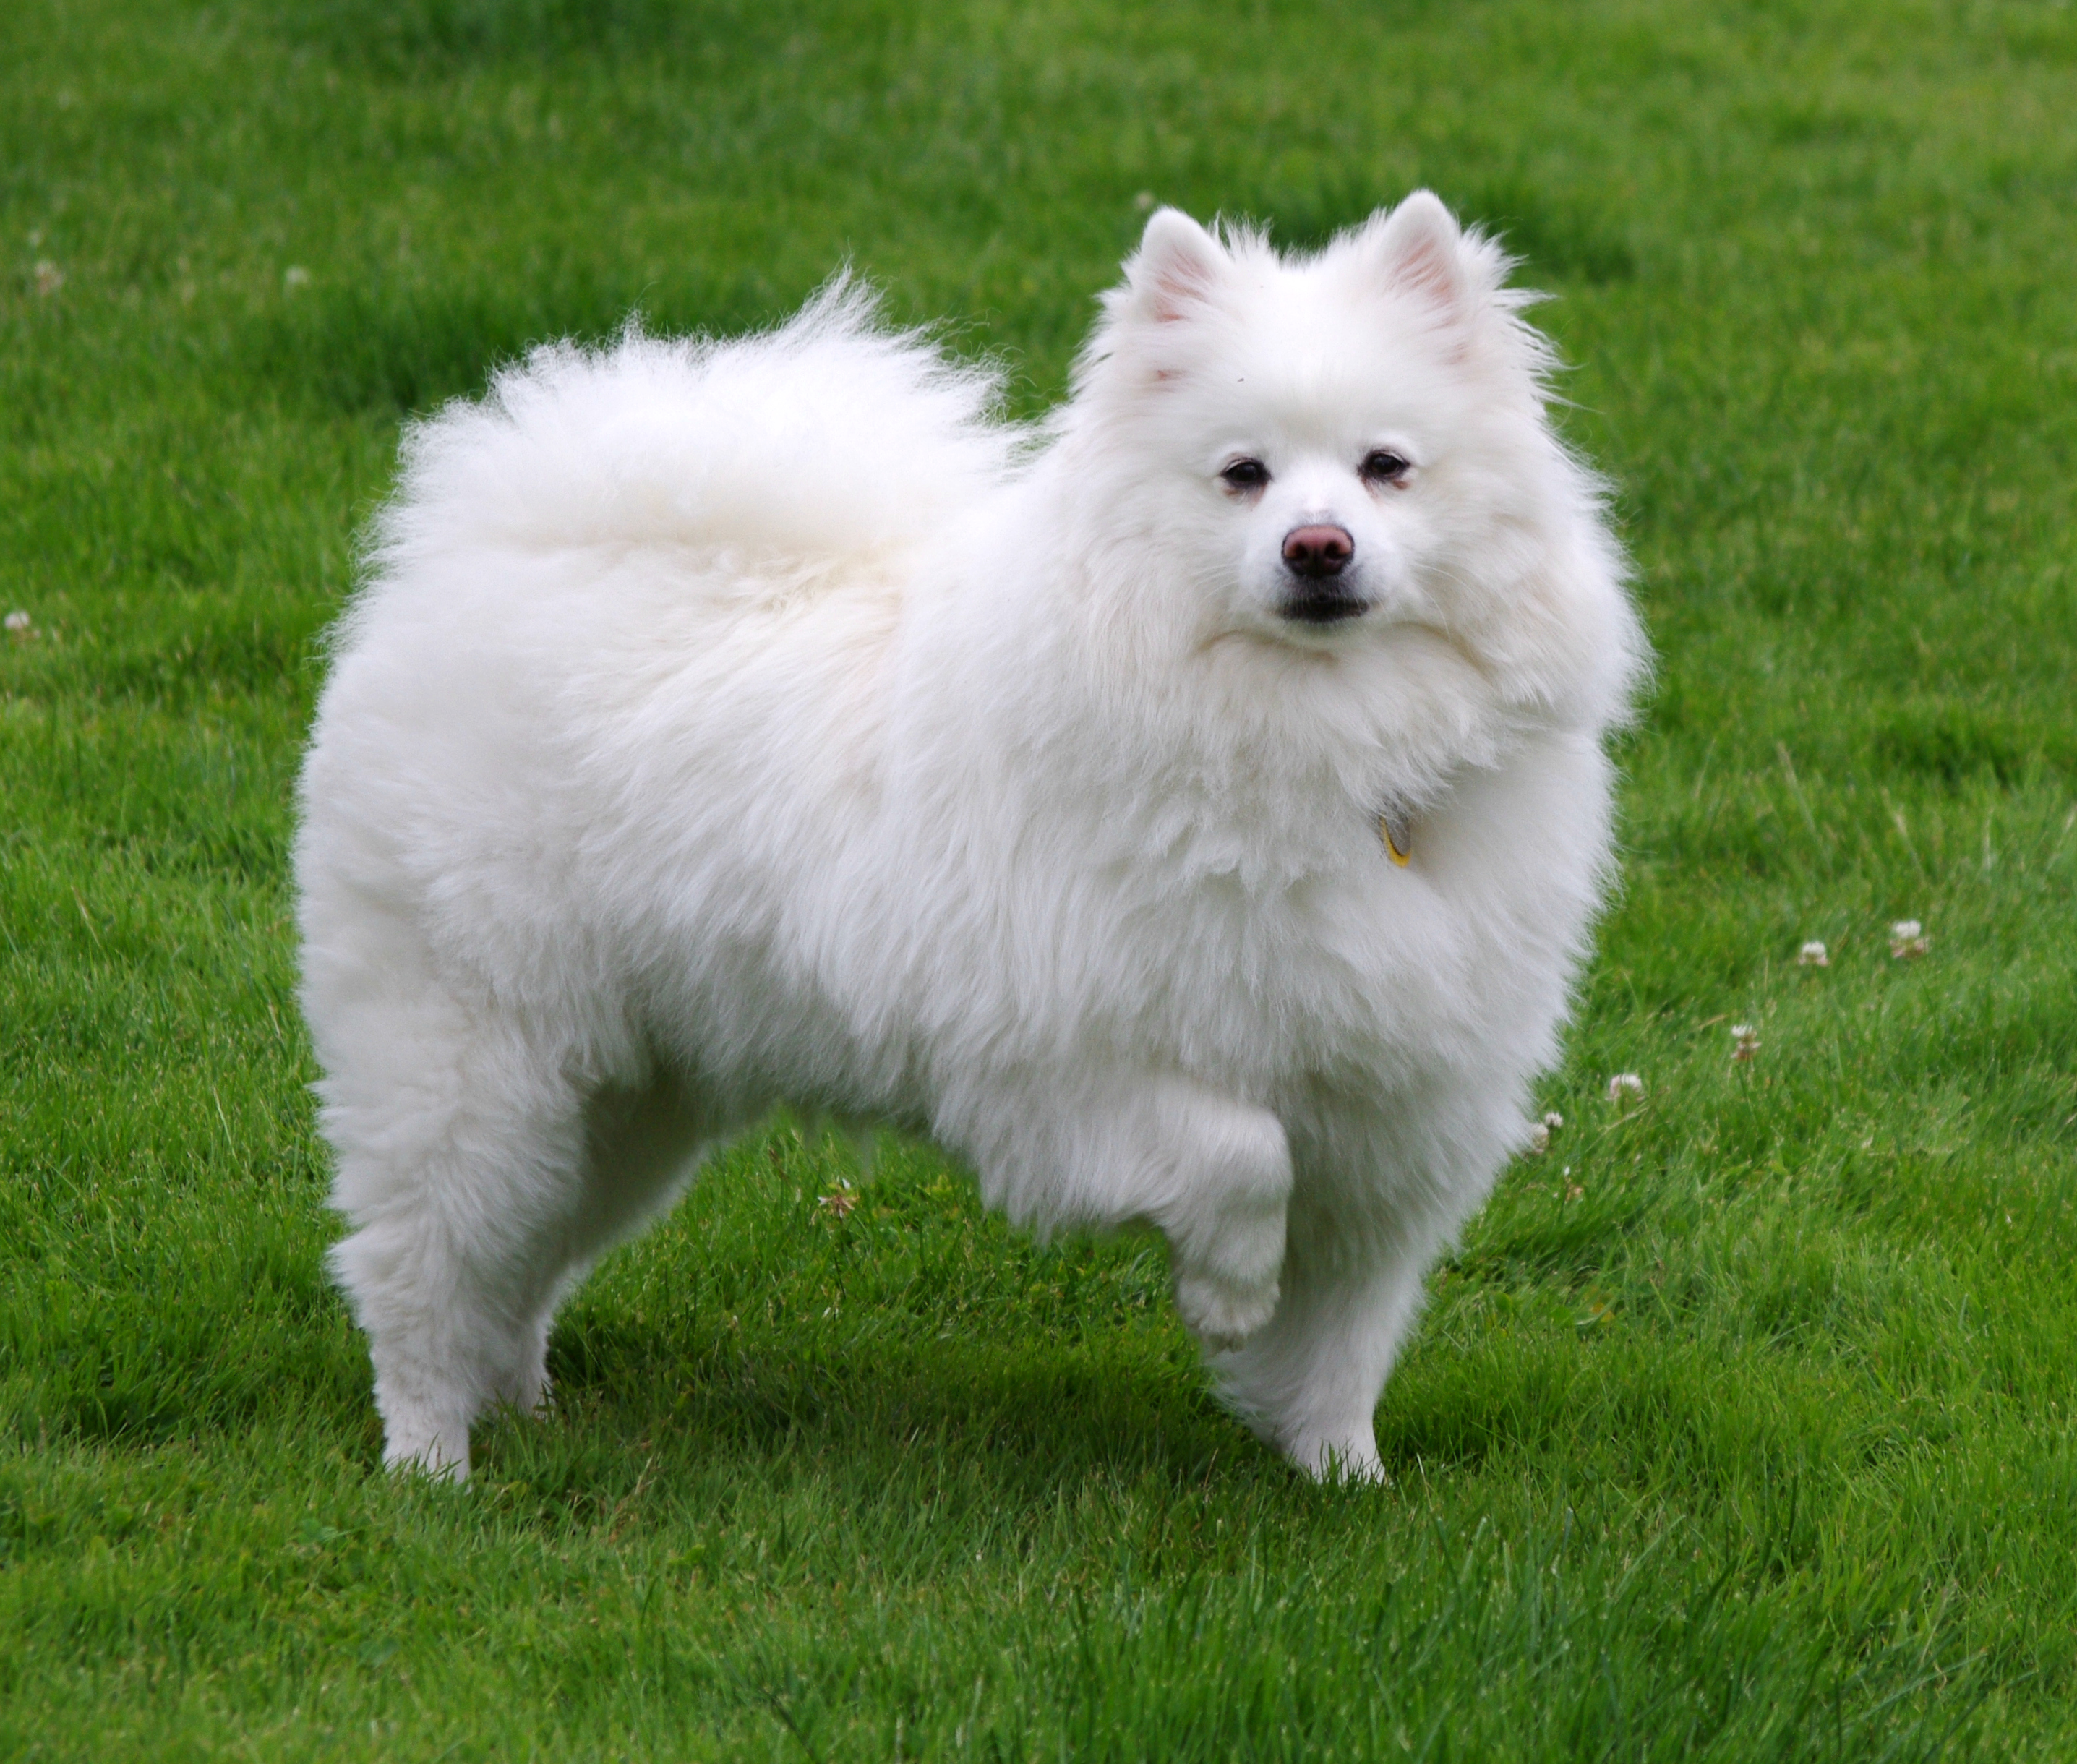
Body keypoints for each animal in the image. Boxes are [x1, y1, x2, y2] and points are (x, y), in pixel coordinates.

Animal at [301, 193, 1645, 1479]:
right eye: (1243, 477)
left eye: (1385, 468)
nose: (1319, 547)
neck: (1321, 739)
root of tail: (473, 558)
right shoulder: (1065, 1067)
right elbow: (1242, 1159)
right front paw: (1225, 1295)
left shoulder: (1390, 1118)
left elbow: (1343, 1335)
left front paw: (1342, 1478)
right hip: (475, 1067)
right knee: (419, 1271)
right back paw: (432, 1460)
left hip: (626, 1100)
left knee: (523, 1267)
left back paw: (521, 1406)